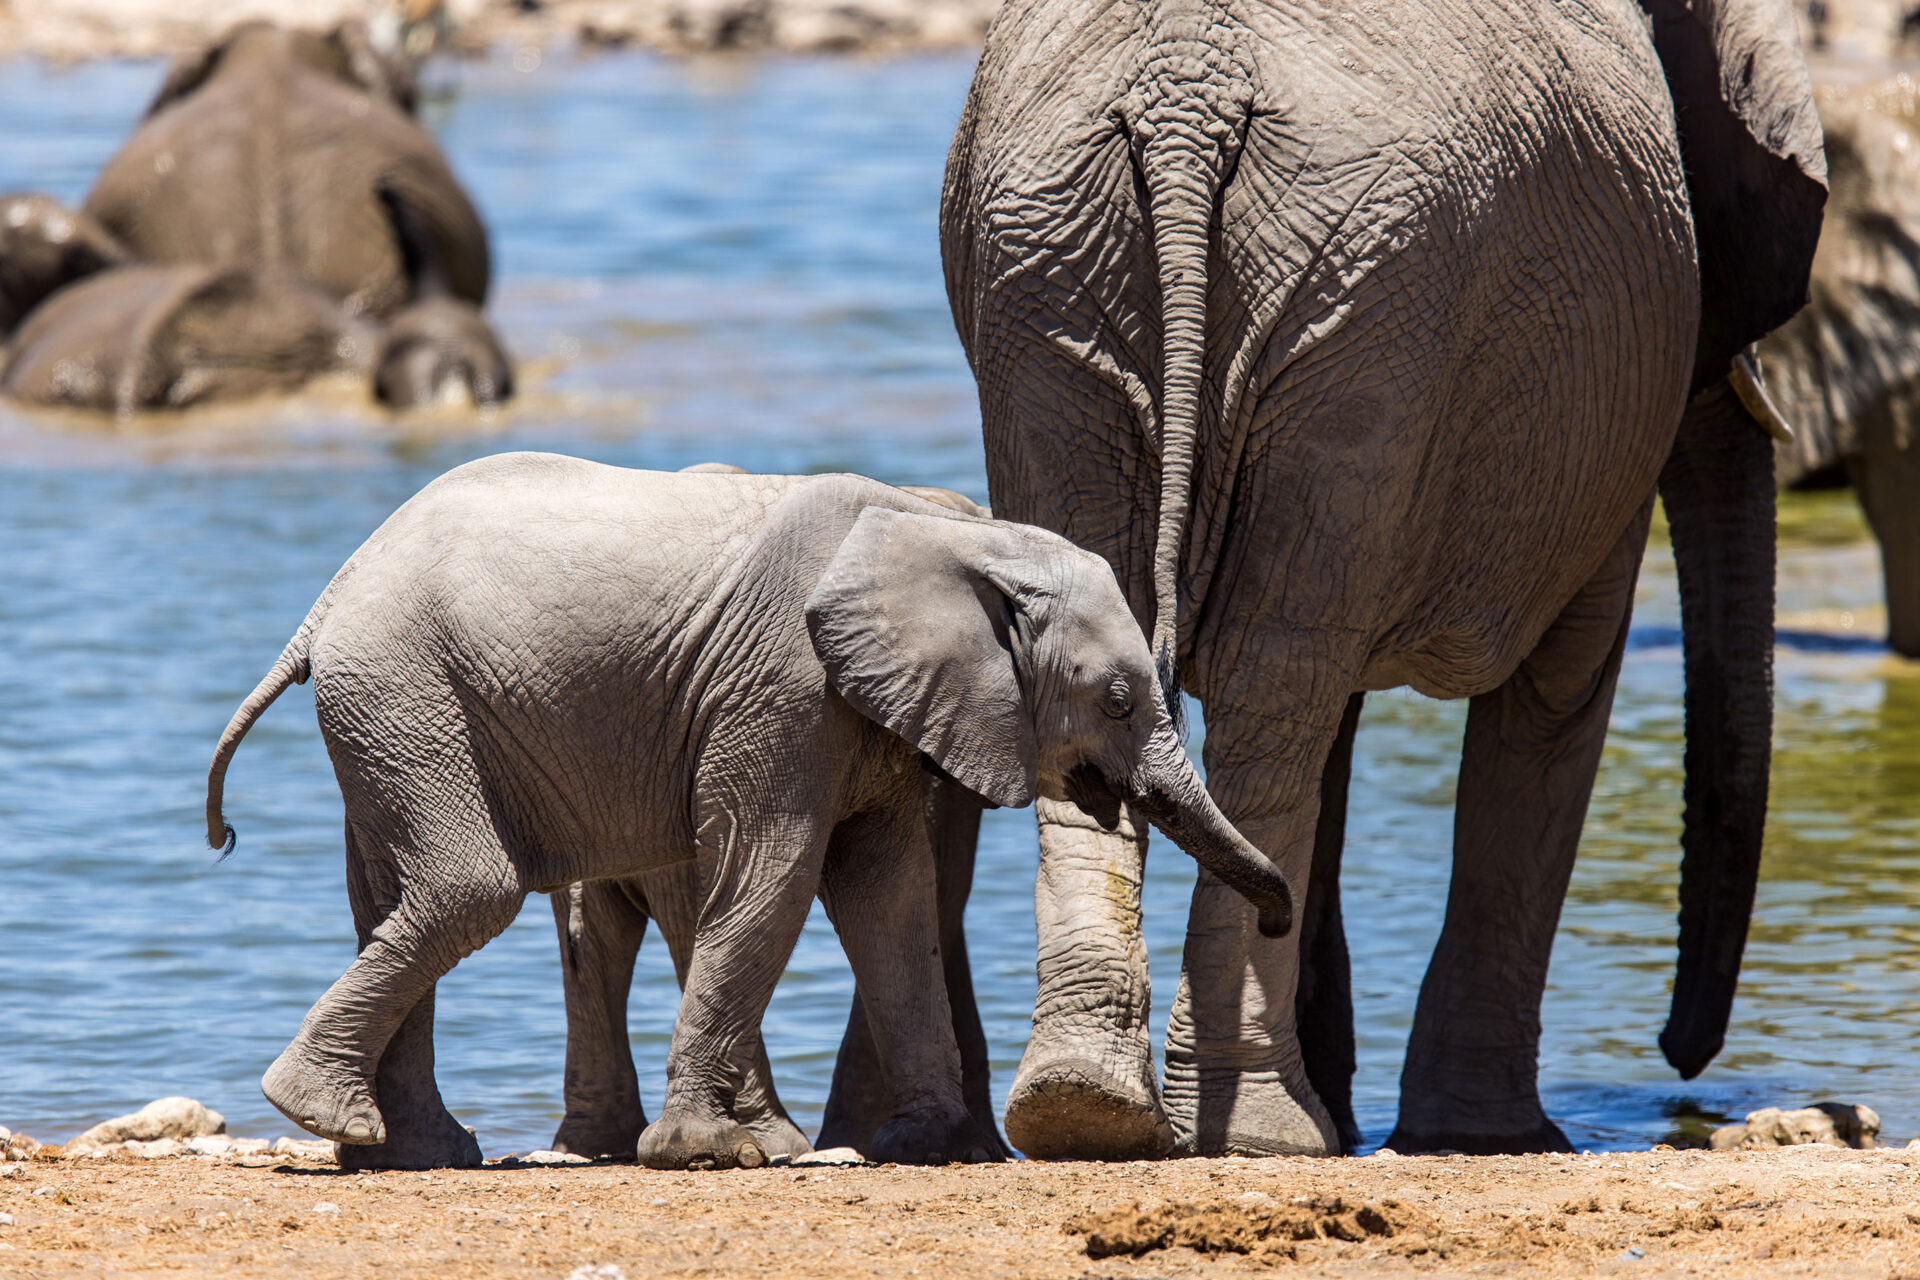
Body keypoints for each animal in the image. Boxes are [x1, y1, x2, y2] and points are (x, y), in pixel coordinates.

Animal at [939, 0, 1823, 1157]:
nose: (1682, 1061)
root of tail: (1187, 98)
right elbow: (1560, 686)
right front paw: (1499, 1140)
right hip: (1355, 303)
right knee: (1284, 684)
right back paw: (1262, 1132)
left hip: (1066, 285)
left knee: (1181, 664)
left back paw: (1087, 1110)